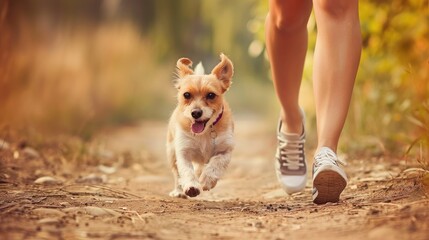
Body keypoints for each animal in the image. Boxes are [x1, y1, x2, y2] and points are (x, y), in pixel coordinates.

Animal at [167, 53, 234, 198]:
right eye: (186, 94)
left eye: (211, 95)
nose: (196, 113)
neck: (205, 132)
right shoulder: (183, 151)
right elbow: (186, 171)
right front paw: (191, 186)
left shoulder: (225, 150)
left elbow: (216, 164)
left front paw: (207, 180)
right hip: (171, 152)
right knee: (176, 174)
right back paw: (178, 191)